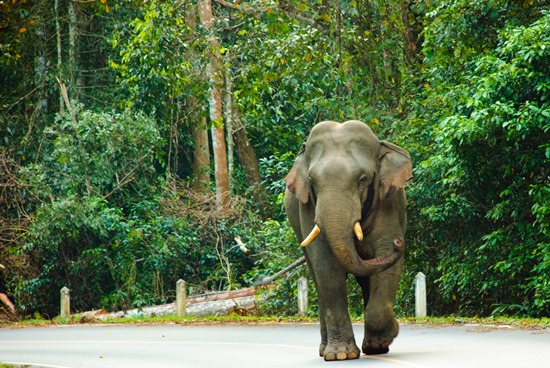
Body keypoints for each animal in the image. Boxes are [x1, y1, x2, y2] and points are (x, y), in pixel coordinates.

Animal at [286, 120, 412, 360]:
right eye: (311, 181)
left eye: (363, 179)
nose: (399, 242)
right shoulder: (308, 209)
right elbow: (327, 269)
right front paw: (340, 355)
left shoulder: (388, 202)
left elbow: (387, 268)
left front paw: (388, 334)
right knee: (318, 280)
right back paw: (325, 350)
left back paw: (375, 347)